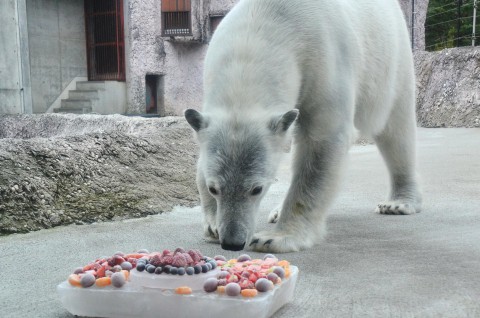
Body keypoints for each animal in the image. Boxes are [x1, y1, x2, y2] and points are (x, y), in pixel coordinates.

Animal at [186, 0, 422, 253]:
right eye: (213, 188)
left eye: (257, 188)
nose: (232, 242)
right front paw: (212, 226)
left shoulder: (323, 58)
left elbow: (322, 141)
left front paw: (274, 238)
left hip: (390, 57)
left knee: (396, 130)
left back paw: (398, 203)